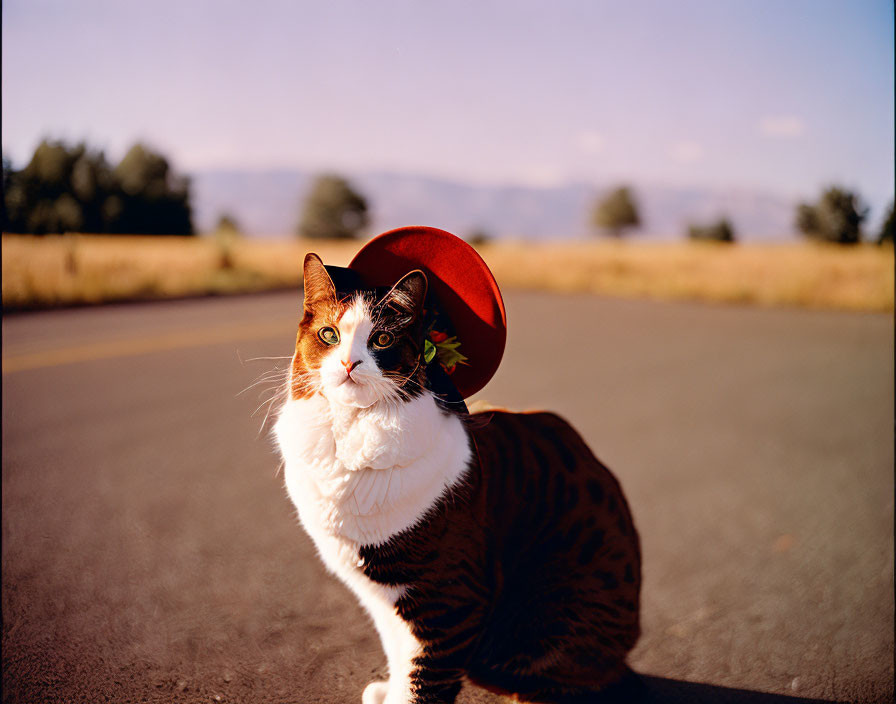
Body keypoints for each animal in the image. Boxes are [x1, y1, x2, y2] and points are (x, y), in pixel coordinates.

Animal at [276, 254, 640, 704]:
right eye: (329, 334)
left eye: (381, 339)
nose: (348, 363)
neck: (349, 433)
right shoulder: (381, 597)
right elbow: (398, 648)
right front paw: (390, 689)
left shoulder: (450, 603)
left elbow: (425, 681)